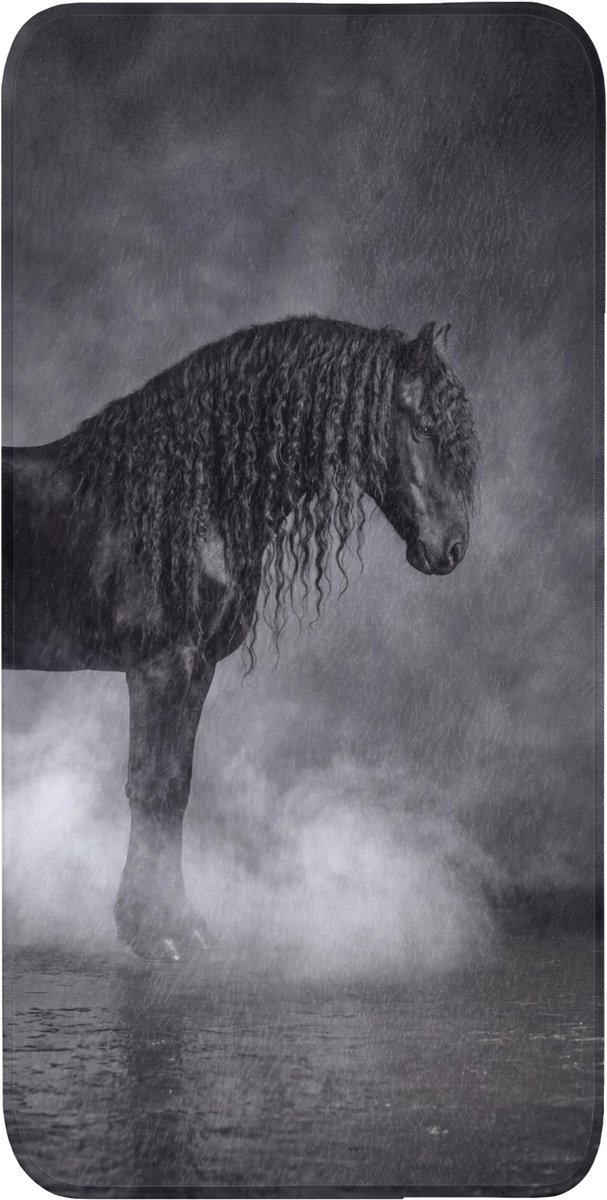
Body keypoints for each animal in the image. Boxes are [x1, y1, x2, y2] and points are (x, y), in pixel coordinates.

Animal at [2, 315, 479, 960]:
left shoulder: (198, 668)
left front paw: (180, 922)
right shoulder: (159, 668)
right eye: (424, 426)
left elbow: (177, 788)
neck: (185, 497)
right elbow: (152, 787)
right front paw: (153, 932)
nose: (451, 548)